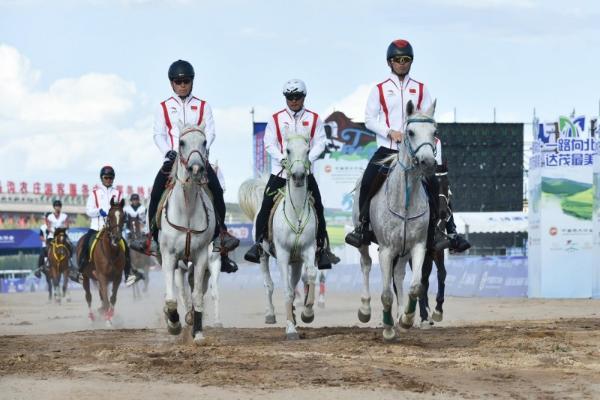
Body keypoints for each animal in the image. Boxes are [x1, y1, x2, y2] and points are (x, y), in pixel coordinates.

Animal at [159, 122, 216, 344]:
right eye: (181, 142)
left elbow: (198, 295)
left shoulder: (201, 257)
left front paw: (198, 332)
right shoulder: (169, 256)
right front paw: (173, 323)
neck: (187, 208)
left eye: (205, 141)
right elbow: (171, 299)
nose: (196, 168)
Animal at [240, 129, 318, 340]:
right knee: (269, 285)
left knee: (295, 281)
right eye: (288, 150)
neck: (296, 213)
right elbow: (287, 291)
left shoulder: (308, 250)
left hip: (296, 261)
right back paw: (270, 315)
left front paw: (307, 313)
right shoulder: (282, 254)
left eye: (308, 150)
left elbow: (310, 276)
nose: (298, 176)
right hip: (264, 256)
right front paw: (290, 329)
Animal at [352, 101, 436, 340]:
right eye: (410, 132)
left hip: (404, 248)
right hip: (364, 241)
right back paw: (365, 310)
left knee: (398, 275)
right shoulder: (386, 250)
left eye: (434, 132)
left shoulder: (417, 246)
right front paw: (388, 329)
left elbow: (415, 286)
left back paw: (400, 316)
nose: (428, 162)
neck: (405, 198)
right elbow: (386, 294)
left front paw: (406, 319)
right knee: (365, 264)